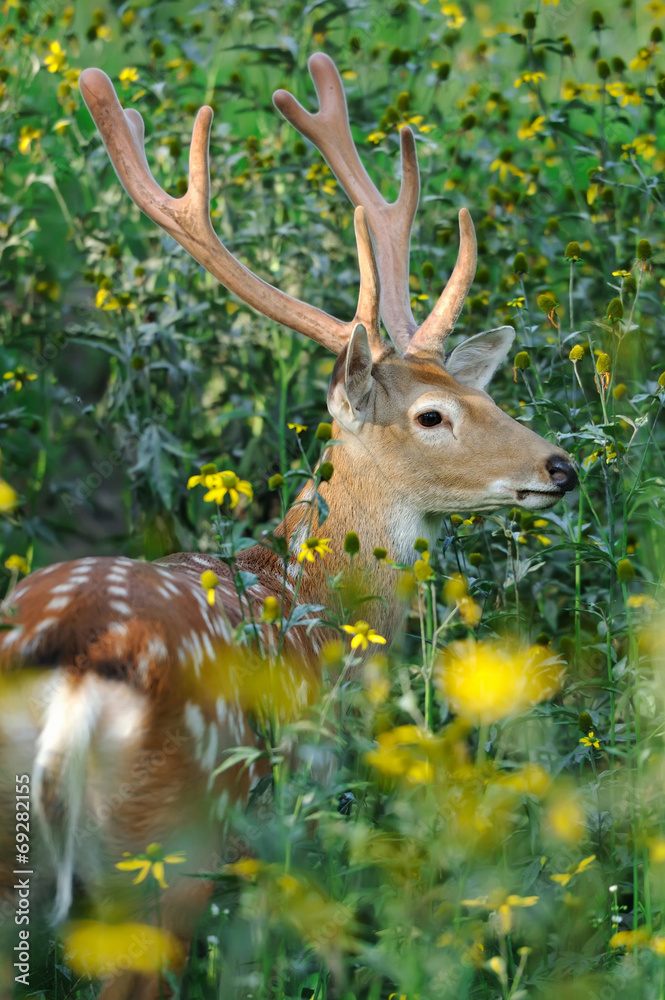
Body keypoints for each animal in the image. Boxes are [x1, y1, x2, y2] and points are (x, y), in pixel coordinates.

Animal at [0, 52, 572, 1000]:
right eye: (431, 417)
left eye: (482, 393)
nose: (561, 467)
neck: (307, 592)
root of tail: (72, 669)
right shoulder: (293, 802)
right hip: (169, 840)